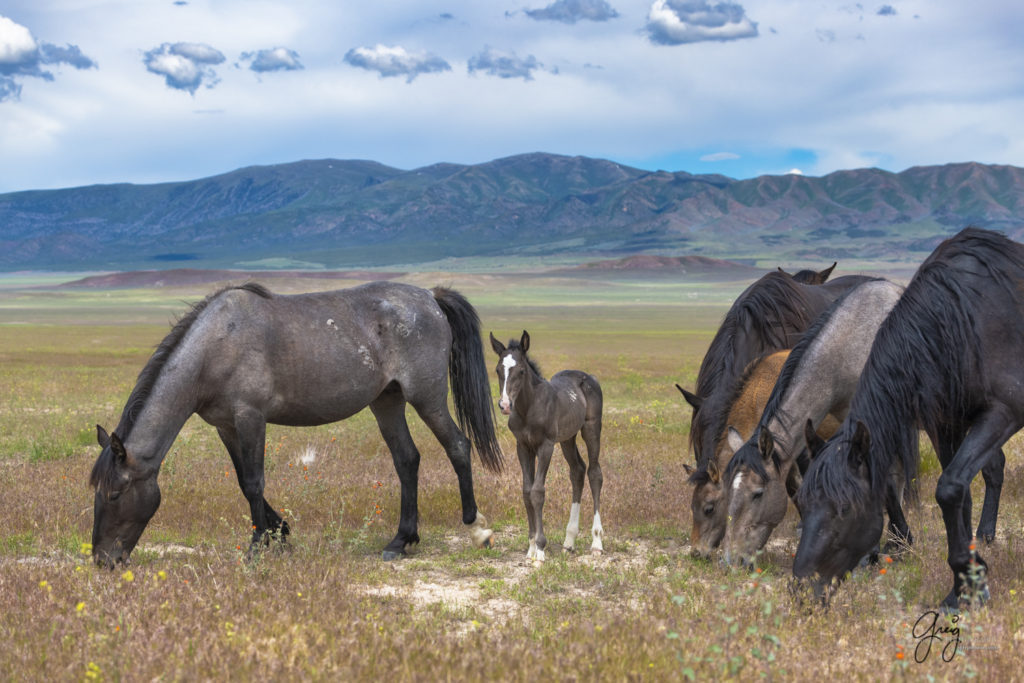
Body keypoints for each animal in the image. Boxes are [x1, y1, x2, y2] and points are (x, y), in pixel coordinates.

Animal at [91, 280, 499, 569]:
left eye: (115, 495)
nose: (102, 560)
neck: (215, 347)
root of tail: (430, 296)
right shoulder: (225, 426)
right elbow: (243, 482)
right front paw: (281, 532)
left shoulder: (250, 417)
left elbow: (254, 483)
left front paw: (257, 548)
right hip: (387, 401)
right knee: (407, 460)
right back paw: (400, 541)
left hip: (426, 397)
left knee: (457, 445)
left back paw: (476, 528)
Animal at [491, 329, 602, 561]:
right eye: (498, 369)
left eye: (521, 370)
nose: (505, 405)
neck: (529, 408)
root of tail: (588, 377)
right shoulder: (523, 446)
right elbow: (526, 491)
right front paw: (531, 548)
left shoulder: (546, 445)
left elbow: (538, 491)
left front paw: (540, 550)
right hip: (567, 438)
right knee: (578, 471)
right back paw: (569, 542)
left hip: (591, 428)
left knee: (595, 473)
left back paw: (597, 542)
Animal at [794, 229, 1019, 610]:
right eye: (802, 502)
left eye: (844, 509)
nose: (803, 590)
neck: (959, 321)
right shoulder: (947, 425)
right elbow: (959, 495)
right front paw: (961, 589)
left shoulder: (1002, 413)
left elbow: (949, 488)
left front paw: (971, 581)